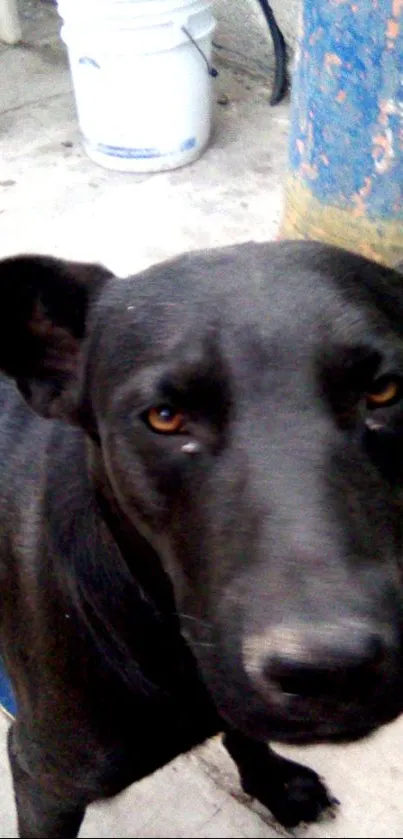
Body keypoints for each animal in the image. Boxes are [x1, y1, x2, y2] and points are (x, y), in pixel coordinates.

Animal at [0, 240, 403, 836]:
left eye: (384, 390)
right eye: (165, 417)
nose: (332, 672)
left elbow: (244, 727)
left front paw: (272, 781)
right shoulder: (43, 778)